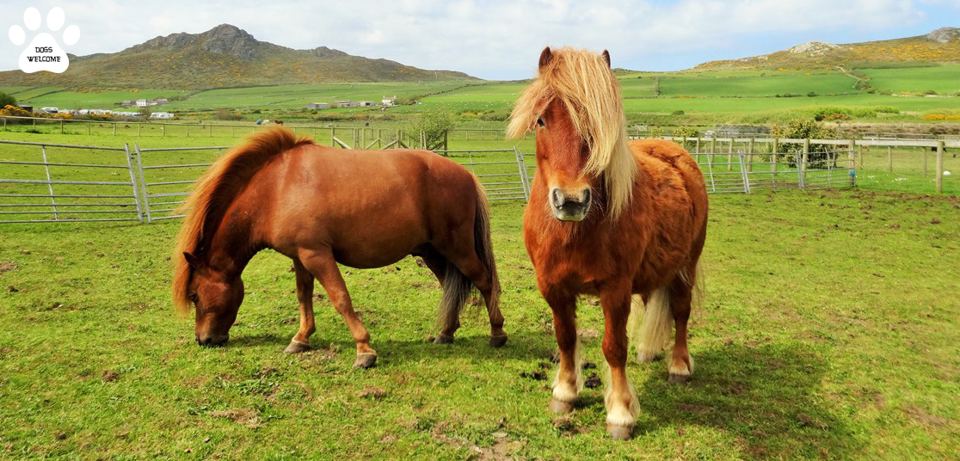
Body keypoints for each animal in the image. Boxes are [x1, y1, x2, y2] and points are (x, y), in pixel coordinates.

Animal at [171, 128, 507, 368]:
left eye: (195, 294)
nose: (204, 339)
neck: (275, 190)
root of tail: (466, 174)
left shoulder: (317, 254)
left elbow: (340, 298)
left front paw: (364, 350)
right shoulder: (300, 257)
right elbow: (304, 297)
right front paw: (300, 339)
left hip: (457, 248)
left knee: (484, 281)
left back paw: (497, 333)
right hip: (432, 252)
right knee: (451, 286)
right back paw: (446, 333)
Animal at [507, 47, 708, 439]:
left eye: (597, 126)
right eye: (541, 120)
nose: (571, 201)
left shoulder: (615, 289)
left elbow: (614, 347)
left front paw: (620, 414)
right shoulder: (552, 287)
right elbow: (566, 337)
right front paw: (565, 392)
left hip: (685, 267)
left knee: (681, 312)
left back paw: (678, 366)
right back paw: (649, 352)